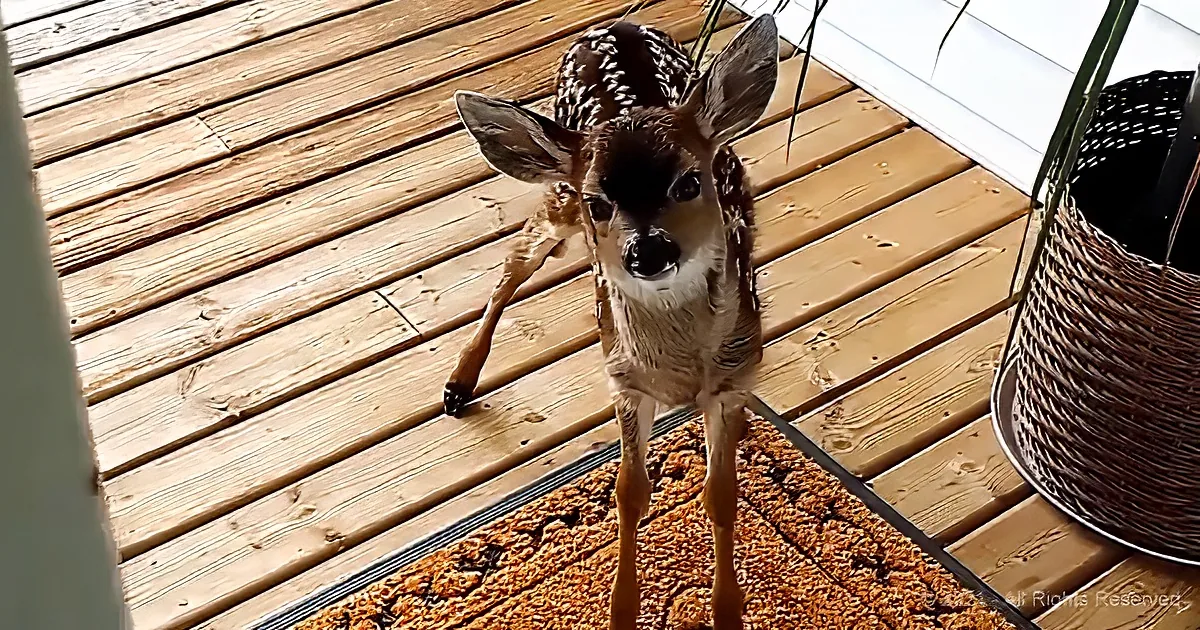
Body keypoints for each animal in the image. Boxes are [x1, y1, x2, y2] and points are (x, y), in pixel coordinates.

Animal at [445, 14, 779, 629]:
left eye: (689, 182)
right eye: (599, 201)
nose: (647, 250)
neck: (677, 373)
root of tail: (618, 23)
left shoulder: (733, 379)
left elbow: (720, 493)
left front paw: (727, 610)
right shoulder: (623, 380)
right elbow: (629, 492)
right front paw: (622, 610)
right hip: (556, 195)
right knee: (514, 263)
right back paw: (458, 383)